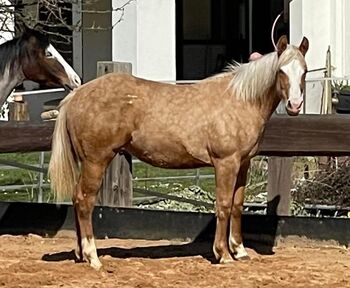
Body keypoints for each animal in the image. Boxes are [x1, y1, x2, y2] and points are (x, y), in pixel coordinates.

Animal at [48, 35, 308, 268]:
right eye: (282, 70)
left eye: (304, 72)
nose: (295, 105)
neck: (240, 101)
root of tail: (76, 95)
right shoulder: (226, 163)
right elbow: (223, 205)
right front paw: (223, 254)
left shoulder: (243, 163)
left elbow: (236, 206)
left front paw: (240, 251)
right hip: (96, 161)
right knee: (85, 200)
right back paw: (93, 257)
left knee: (76, 197)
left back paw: (81, 254)